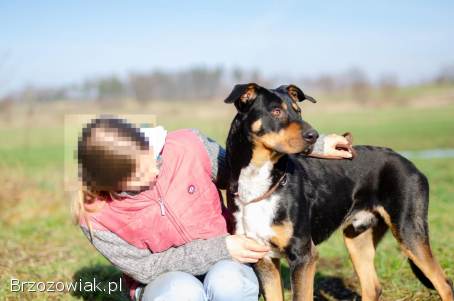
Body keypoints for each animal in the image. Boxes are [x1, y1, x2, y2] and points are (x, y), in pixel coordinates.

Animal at [224, 83, 454, 300]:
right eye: (276, 111)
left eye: (298, 111)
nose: (313, 135)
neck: (260, 179)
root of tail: (408, 162)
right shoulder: (263, 259)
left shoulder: (303, 255)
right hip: (357, 238)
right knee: (373, 288)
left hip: (409, 231)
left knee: (444, 285)